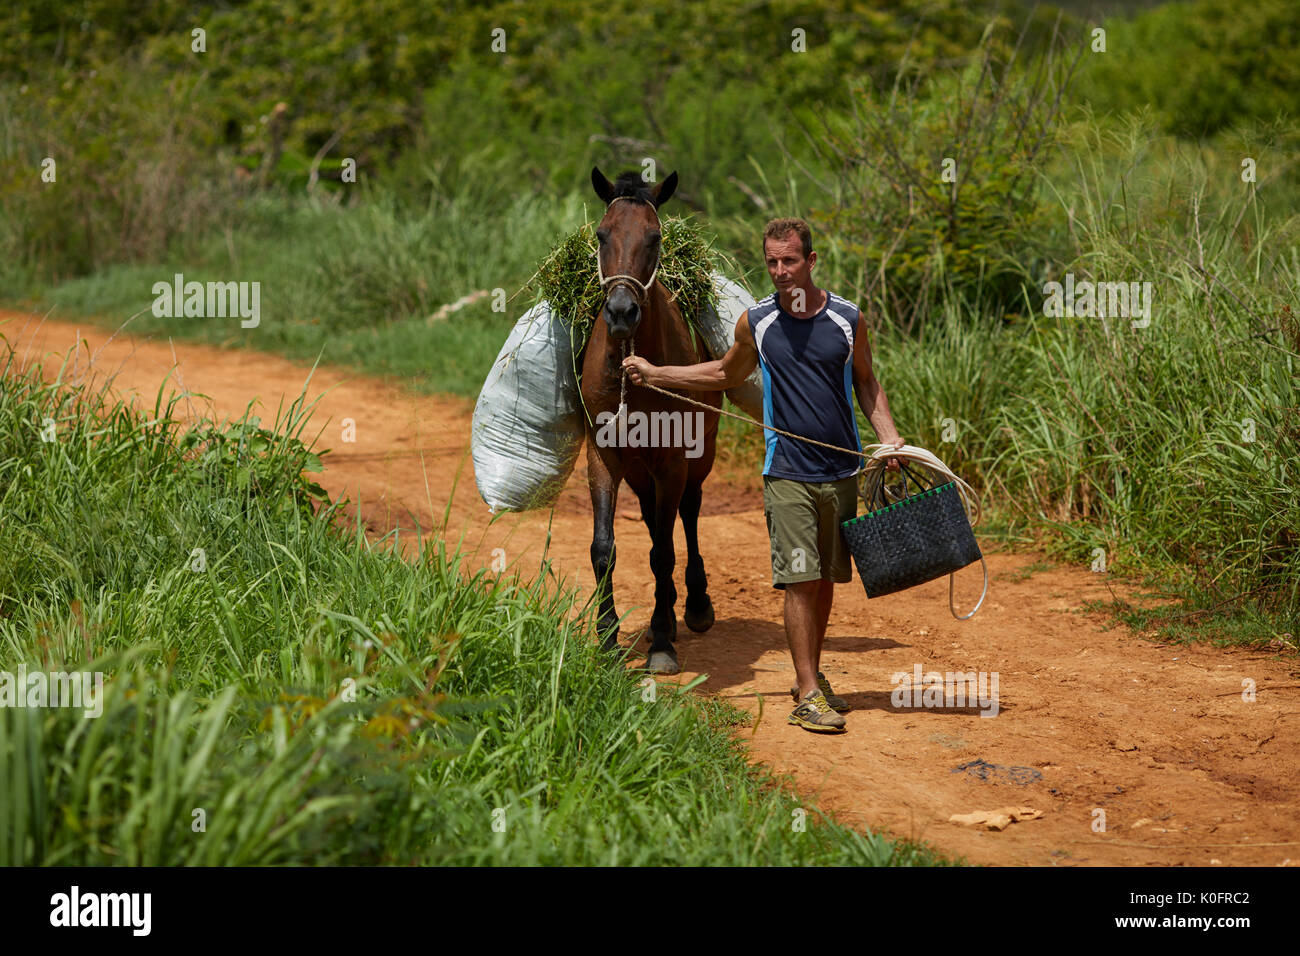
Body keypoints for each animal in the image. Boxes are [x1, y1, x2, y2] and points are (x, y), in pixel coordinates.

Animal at [582, 166, 722, 671]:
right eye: (602, 235)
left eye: (655, 237)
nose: (621, 312)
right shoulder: (604, 453)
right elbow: (604, 549)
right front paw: (606, 638)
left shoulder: (672, 460)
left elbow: (663, 552)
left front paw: (661, 642)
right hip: (640, 469)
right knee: (651, 516)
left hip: (696, 457)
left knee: (689, 512)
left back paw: (695, 605)